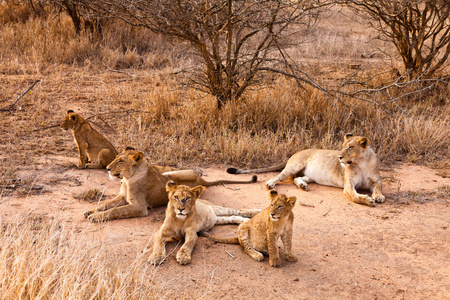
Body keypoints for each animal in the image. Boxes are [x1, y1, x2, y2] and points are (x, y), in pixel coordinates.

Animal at [83, 148, 256, 223]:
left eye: (120, 161)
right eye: (116, 158)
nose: (107, 168)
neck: (127, 178)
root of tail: (201, 180)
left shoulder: (139, 207)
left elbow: (115, 211)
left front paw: (95, 217)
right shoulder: (121, 197)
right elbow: (105, 204)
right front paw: (90, 211)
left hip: (169, 174)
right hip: (168, 173)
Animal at [227, 134, 384, 206]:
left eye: (350, 147)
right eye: (343, 146)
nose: (340, 157)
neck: (361, 163)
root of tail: (295, 153)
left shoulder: (376, 180)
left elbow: (377, 188)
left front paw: (379, 197)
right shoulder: (348, 184)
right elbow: (355, 195)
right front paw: (368, 200)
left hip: (309, 175)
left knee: (297, 178)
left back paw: (303, 185)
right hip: (295, 165)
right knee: (279, 176)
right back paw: (271, 184)